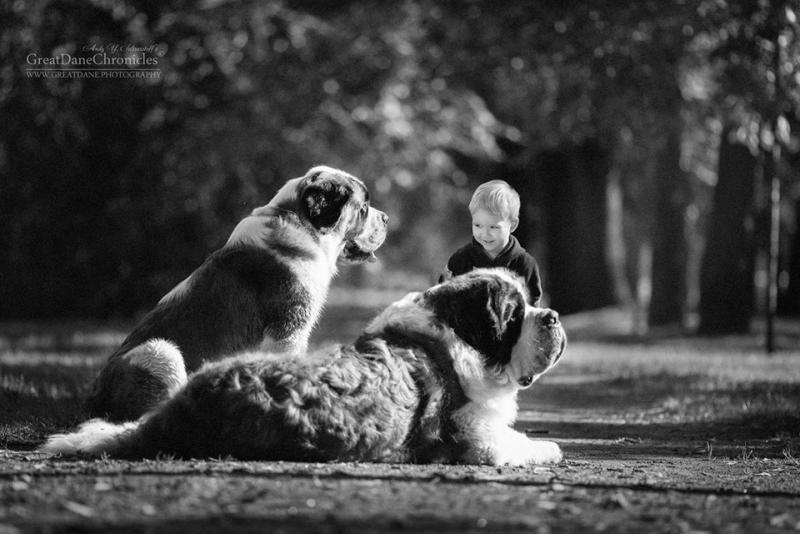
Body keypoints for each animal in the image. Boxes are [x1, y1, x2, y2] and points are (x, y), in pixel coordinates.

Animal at [43, 269, 565, 466]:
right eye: (514, 316)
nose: (553, 316)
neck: (449, 335)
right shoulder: (479, 439)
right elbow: (526, 444)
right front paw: (550, 447)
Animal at [84, 166, 387, 423]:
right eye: (363, 208)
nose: (386, 218)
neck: (299, 223)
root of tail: (94, 397)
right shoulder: (288, 331)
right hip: (160, 351)